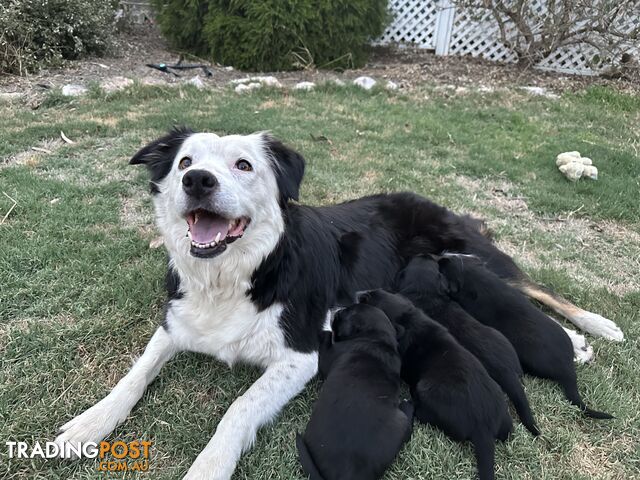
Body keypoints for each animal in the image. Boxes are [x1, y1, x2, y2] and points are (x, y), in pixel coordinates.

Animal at [296, 304, 412, 480]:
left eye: (344, 314)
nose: (337, 311)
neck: (378, 338)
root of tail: (349, 475)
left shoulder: (329, 356)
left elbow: (327, 338)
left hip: (401, 421)